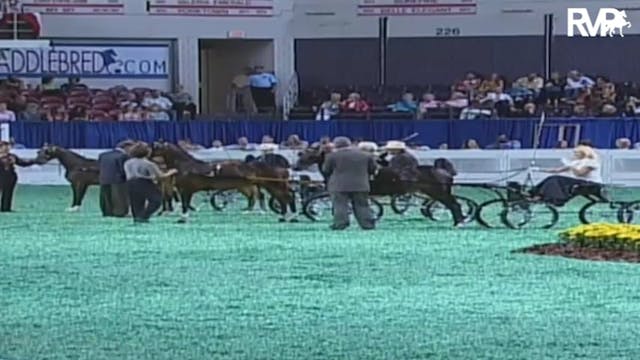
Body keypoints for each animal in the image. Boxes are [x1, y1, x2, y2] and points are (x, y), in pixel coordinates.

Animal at [152, 141, 298, 221]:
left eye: (156, 147)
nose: (149, 154)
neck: (186, 166)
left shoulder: (185, 190)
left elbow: (184, 204)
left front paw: (183, 217)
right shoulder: (186, 190)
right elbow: (186, 204)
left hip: (262, 184)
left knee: (283, 196)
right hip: (252, 186)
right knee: (276, 197)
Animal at [296, 146, 464, 225]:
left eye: (311, 153)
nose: (297, 165)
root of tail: (442, 170)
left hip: (439, 193)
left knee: (454, 205)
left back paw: (459, 222)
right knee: (453, 205)